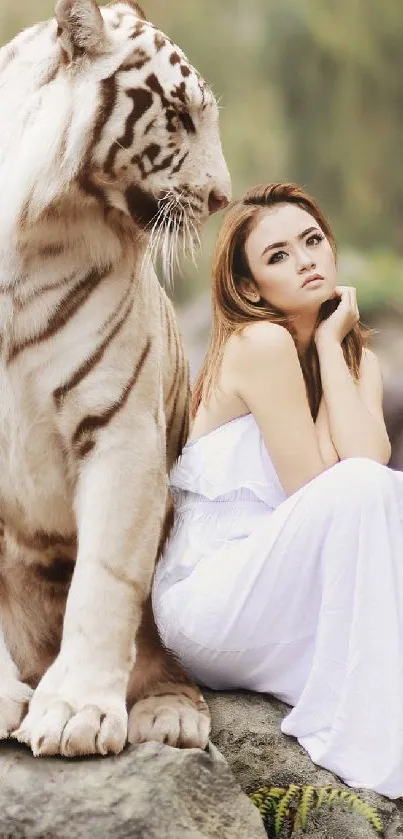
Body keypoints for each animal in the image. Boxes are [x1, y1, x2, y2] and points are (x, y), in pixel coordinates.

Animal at [0, 0, 230, 756]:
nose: (222, 198)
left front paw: (74, 713)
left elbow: (104, 582)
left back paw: (169, 716)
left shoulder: (121, 431)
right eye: (180, 116)